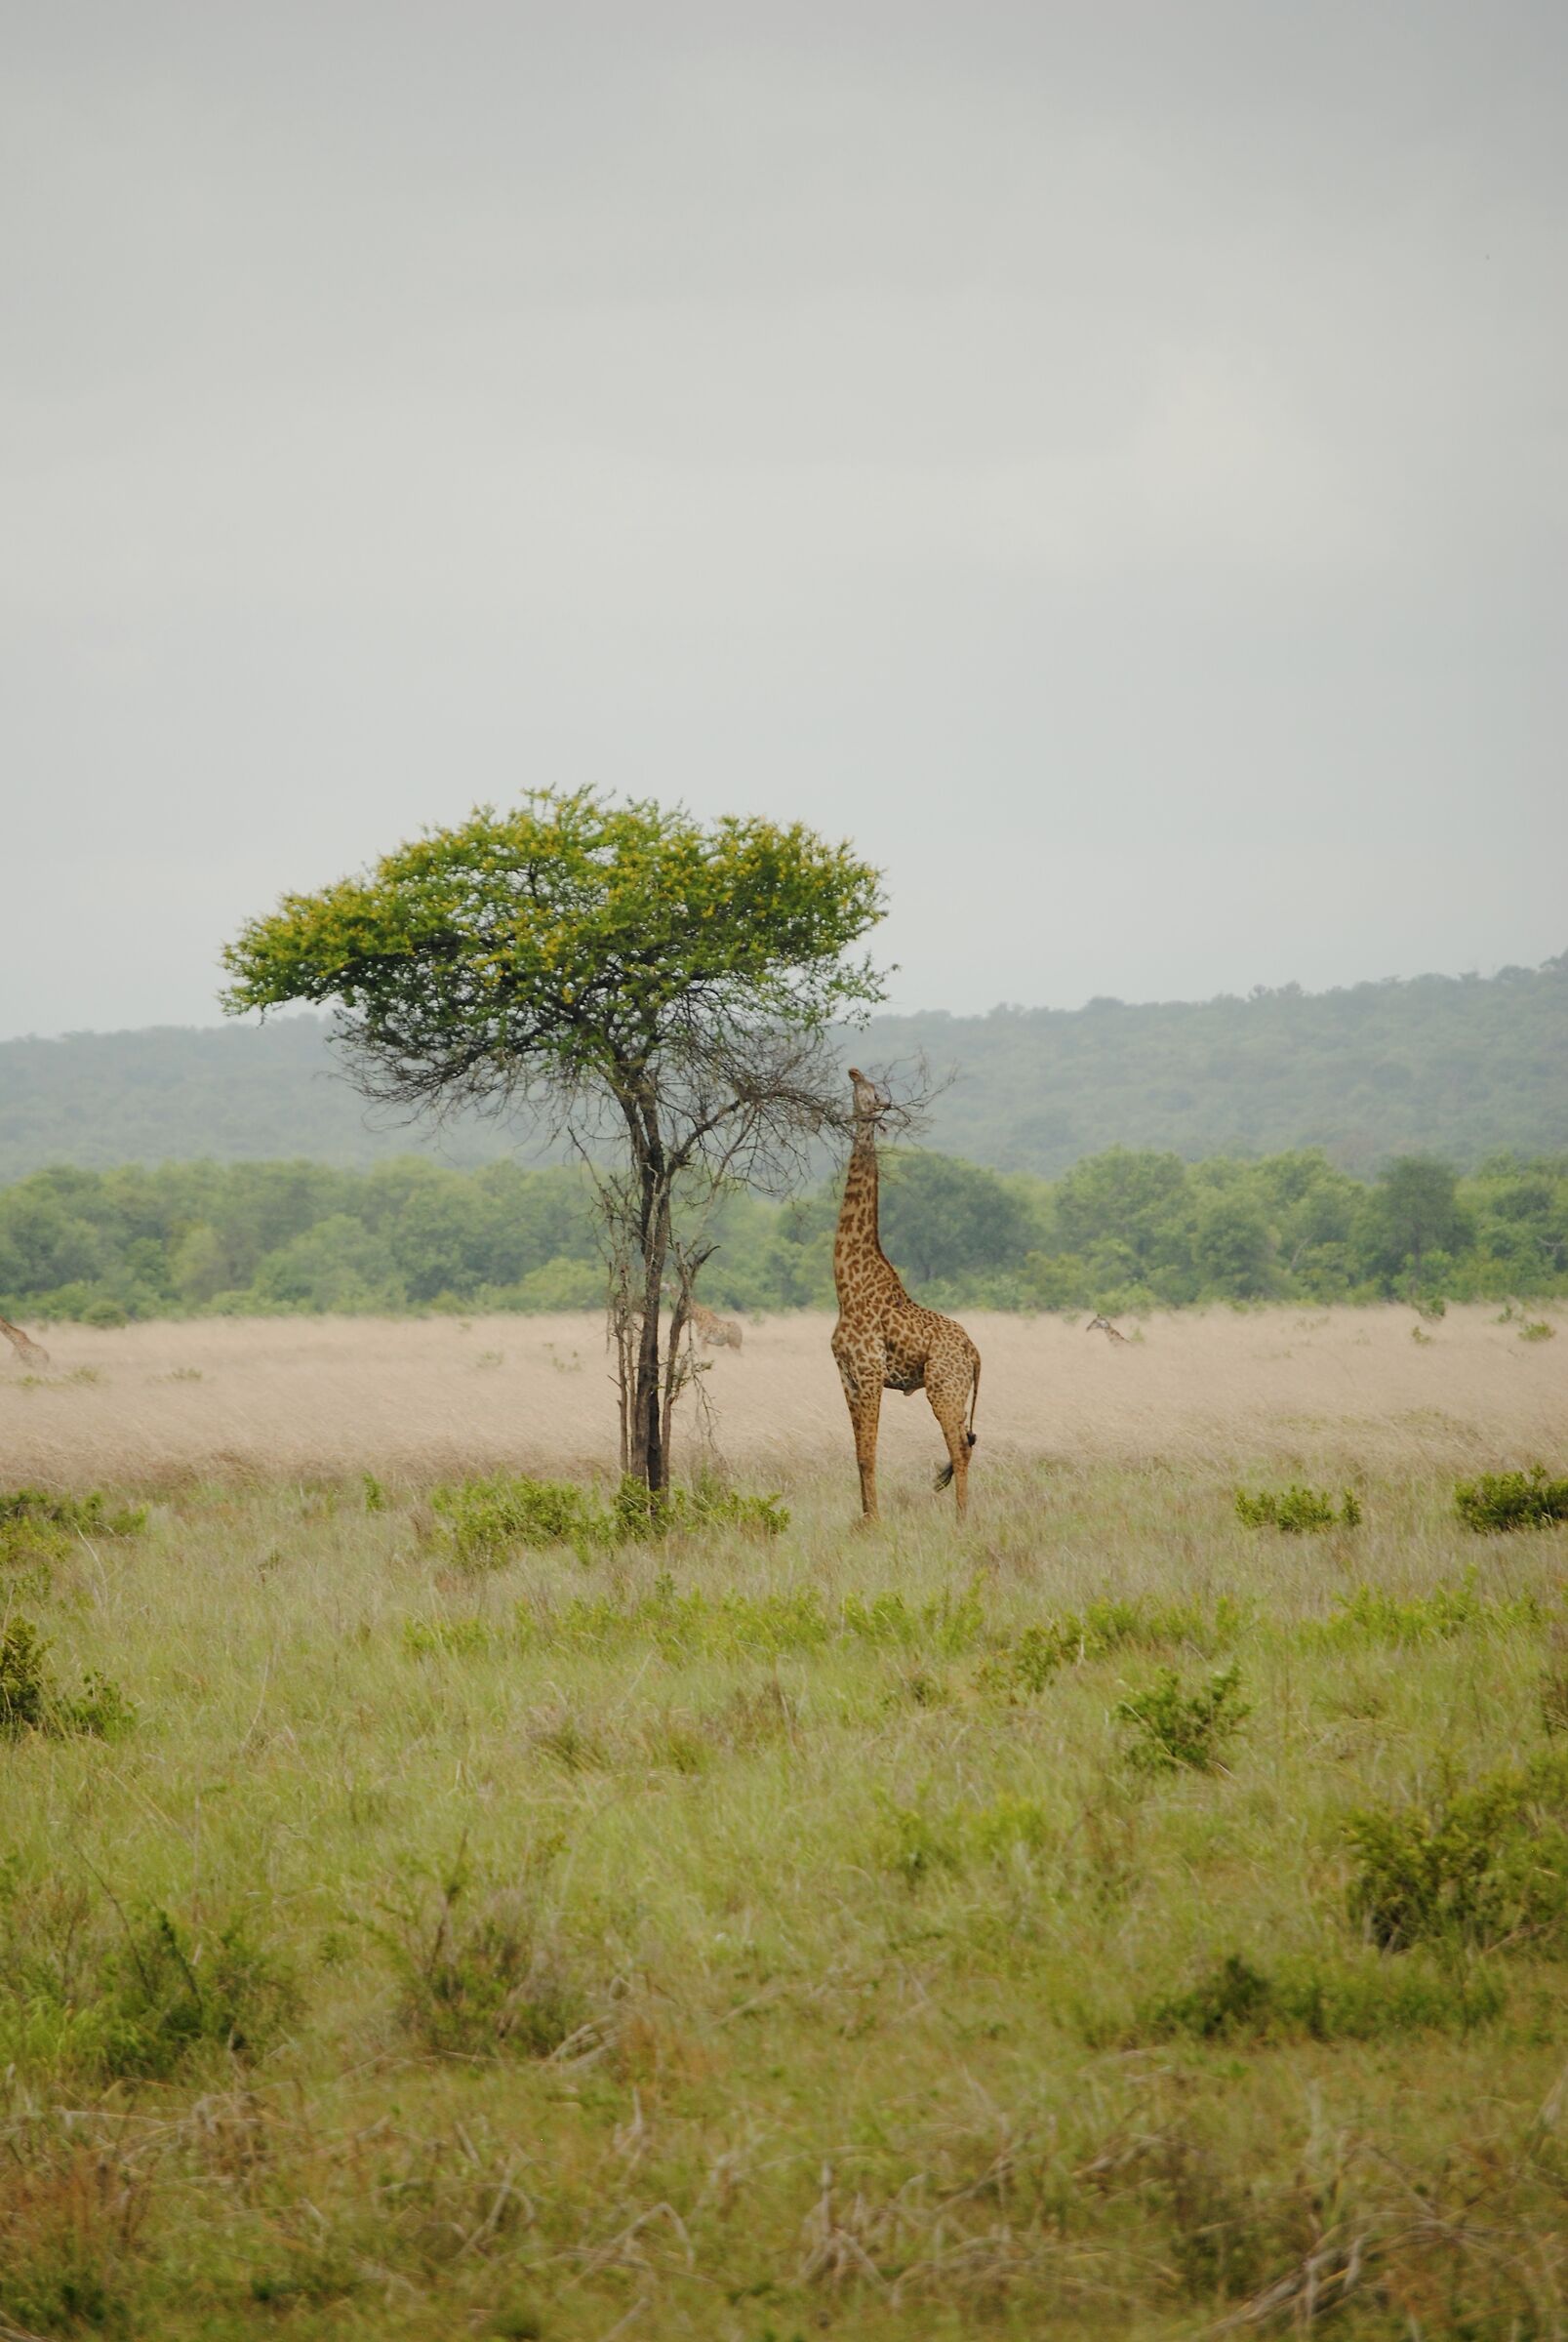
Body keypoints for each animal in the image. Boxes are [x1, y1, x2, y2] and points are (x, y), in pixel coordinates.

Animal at [831, 1068, 981, 1522]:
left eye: (874, 1090)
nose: (853, 1071)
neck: (846, 1285)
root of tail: (975, 1354)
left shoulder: (868, 1371)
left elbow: (869, 1452)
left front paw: (874, 1522)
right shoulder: (846, 1375)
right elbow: (859, 1453)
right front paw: (863, 1519)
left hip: (944, 1387)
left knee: (960, 1448)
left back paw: (961, 1521)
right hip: (953, 1391)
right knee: (967, 1445)